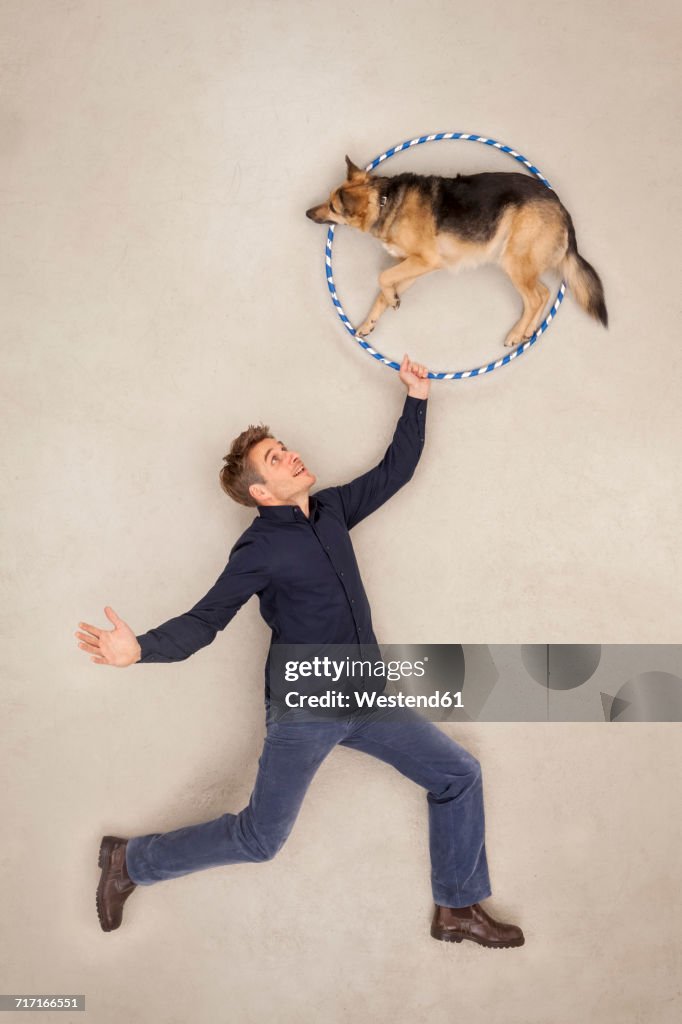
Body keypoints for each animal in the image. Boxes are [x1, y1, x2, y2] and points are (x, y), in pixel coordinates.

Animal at [307, 156, 606, 348]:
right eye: (329, 199)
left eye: (333, 207)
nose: (307, 213)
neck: (385, 202)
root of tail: (560, 206)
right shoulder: (415, 266)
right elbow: (385, 286)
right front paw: (372, 319)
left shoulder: (425, 261)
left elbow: (382, 277)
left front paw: (391, 299)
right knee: (543, 294)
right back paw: (529, 331)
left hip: (513, 262)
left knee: (535, 297)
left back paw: (516, 333)